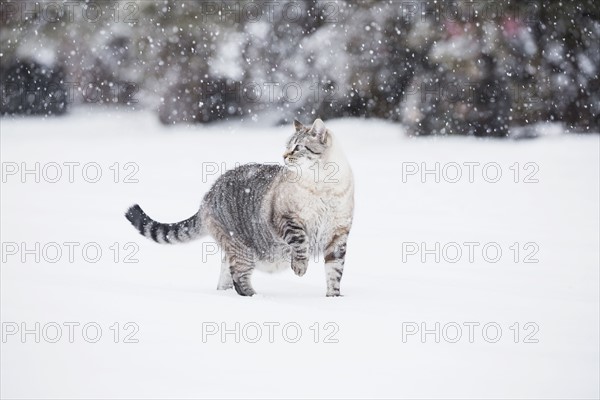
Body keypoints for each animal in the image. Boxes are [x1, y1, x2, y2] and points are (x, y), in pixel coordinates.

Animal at [125, 117, 354, 296]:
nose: (284, 156)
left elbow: (335, 273)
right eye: (287, 146)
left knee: (225, 275)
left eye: (297, 147)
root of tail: (208, 195)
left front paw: (334, 299)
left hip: (234, 251)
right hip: (243, 250)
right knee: (239, 279)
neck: (324, 186)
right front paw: (299, 267)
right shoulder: (287, 220)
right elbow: (300, 243)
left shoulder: (338, 236)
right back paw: (256, 298)